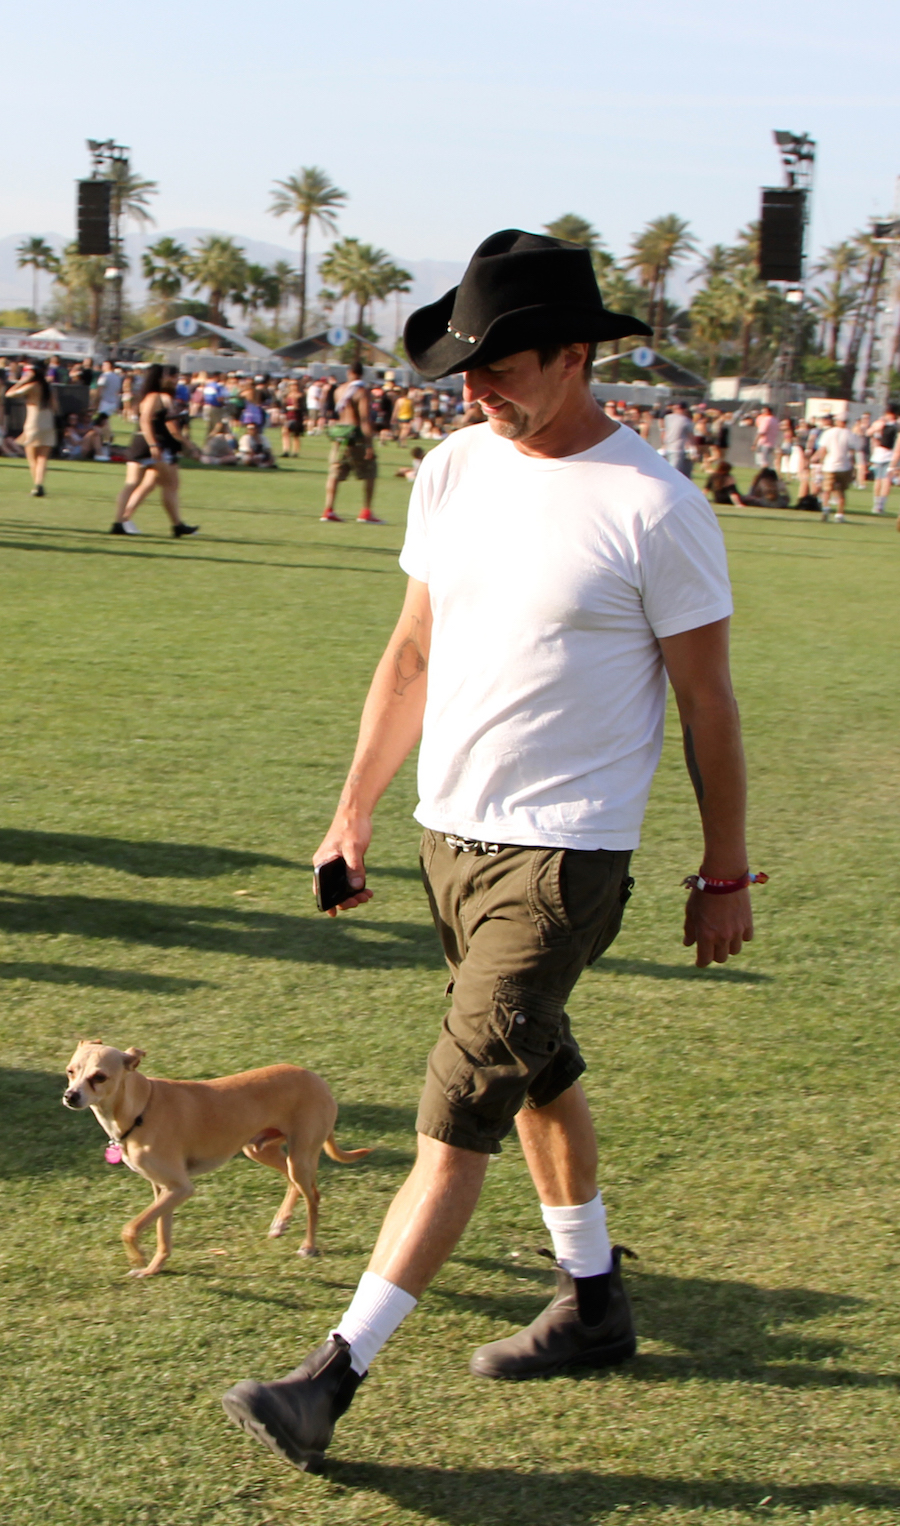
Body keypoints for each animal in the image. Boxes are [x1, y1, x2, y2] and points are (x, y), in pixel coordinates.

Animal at [63, 1037, 372, 1275]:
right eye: (70, 1072)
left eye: (99, 1077)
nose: (70, 1096)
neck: (141, 1108)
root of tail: (318, 1080)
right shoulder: (164, 1189)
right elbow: (163, 1235)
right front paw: (153, 1268)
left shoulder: (181, 1188)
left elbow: (129, 1229)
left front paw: (138, 1259)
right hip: (261, 1149)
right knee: (292, 1182)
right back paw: (280, 1223)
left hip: (300, 1156)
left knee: (313, 1197)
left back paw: (308, 1246)